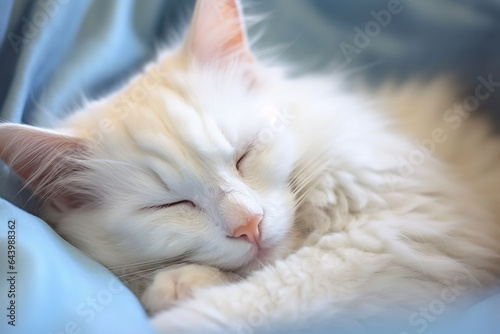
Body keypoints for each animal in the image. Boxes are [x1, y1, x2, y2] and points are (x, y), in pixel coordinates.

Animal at [0, 0, 500, 332]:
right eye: (169, 205)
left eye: (245, 154)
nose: (249, 224)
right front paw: (180, 285)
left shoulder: (397, 231)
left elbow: (265, 296)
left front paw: (182, 309)